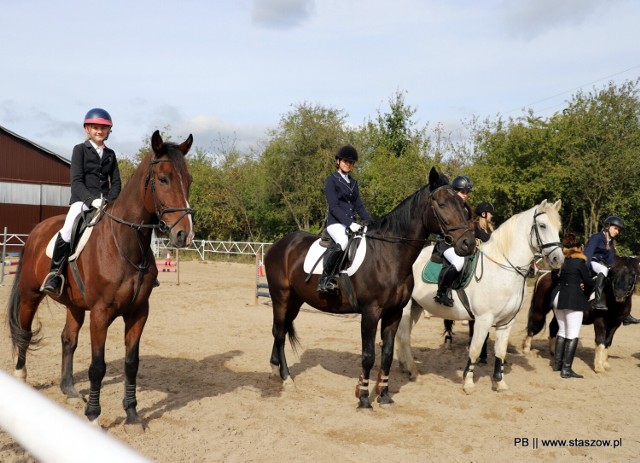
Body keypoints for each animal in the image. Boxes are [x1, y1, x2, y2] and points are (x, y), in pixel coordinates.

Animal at [7, 130, 194, 428]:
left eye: (189, 180)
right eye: (164, 178)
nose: (184, 235)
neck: (126, 243)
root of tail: (37, 230)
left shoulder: (139, 312)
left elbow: (132, 364)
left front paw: (132, 414)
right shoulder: (100, 313)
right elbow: (98, 367)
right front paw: (94, 416)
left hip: (73, 304)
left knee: (68, 339)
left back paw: (69, 389)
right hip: (30, 295)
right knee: (24, 332)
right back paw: (22, 378)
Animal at [262, 167, 478, 410]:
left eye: (462, 206)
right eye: (442, 204)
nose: (468, 244)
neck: (389, 255)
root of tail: (279, 244)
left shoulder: (394, 313)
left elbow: (387, 355)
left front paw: (384, 395)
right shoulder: (370, 313)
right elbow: (368, 355)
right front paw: (364, 397)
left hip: (295, 301)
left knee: (280, 329)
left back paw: (275, 369)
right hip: (281, 297)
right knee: (280, 333)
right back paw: (286, 378)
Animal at [396, 201, 564, 394]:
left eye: (558, 227)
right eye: (542, 226)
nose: (558, 259)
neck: (502, 268)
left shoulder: (507, 322)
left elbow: (500, 351)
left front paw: (499, 382)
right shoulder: (483, 320)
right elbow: (475, 350)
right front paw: (468, 383)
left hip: (417, 307)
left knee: (402, 335)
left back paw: (403, 365)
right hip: (406, 307)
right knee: (403, 336)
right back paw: (412, 370)